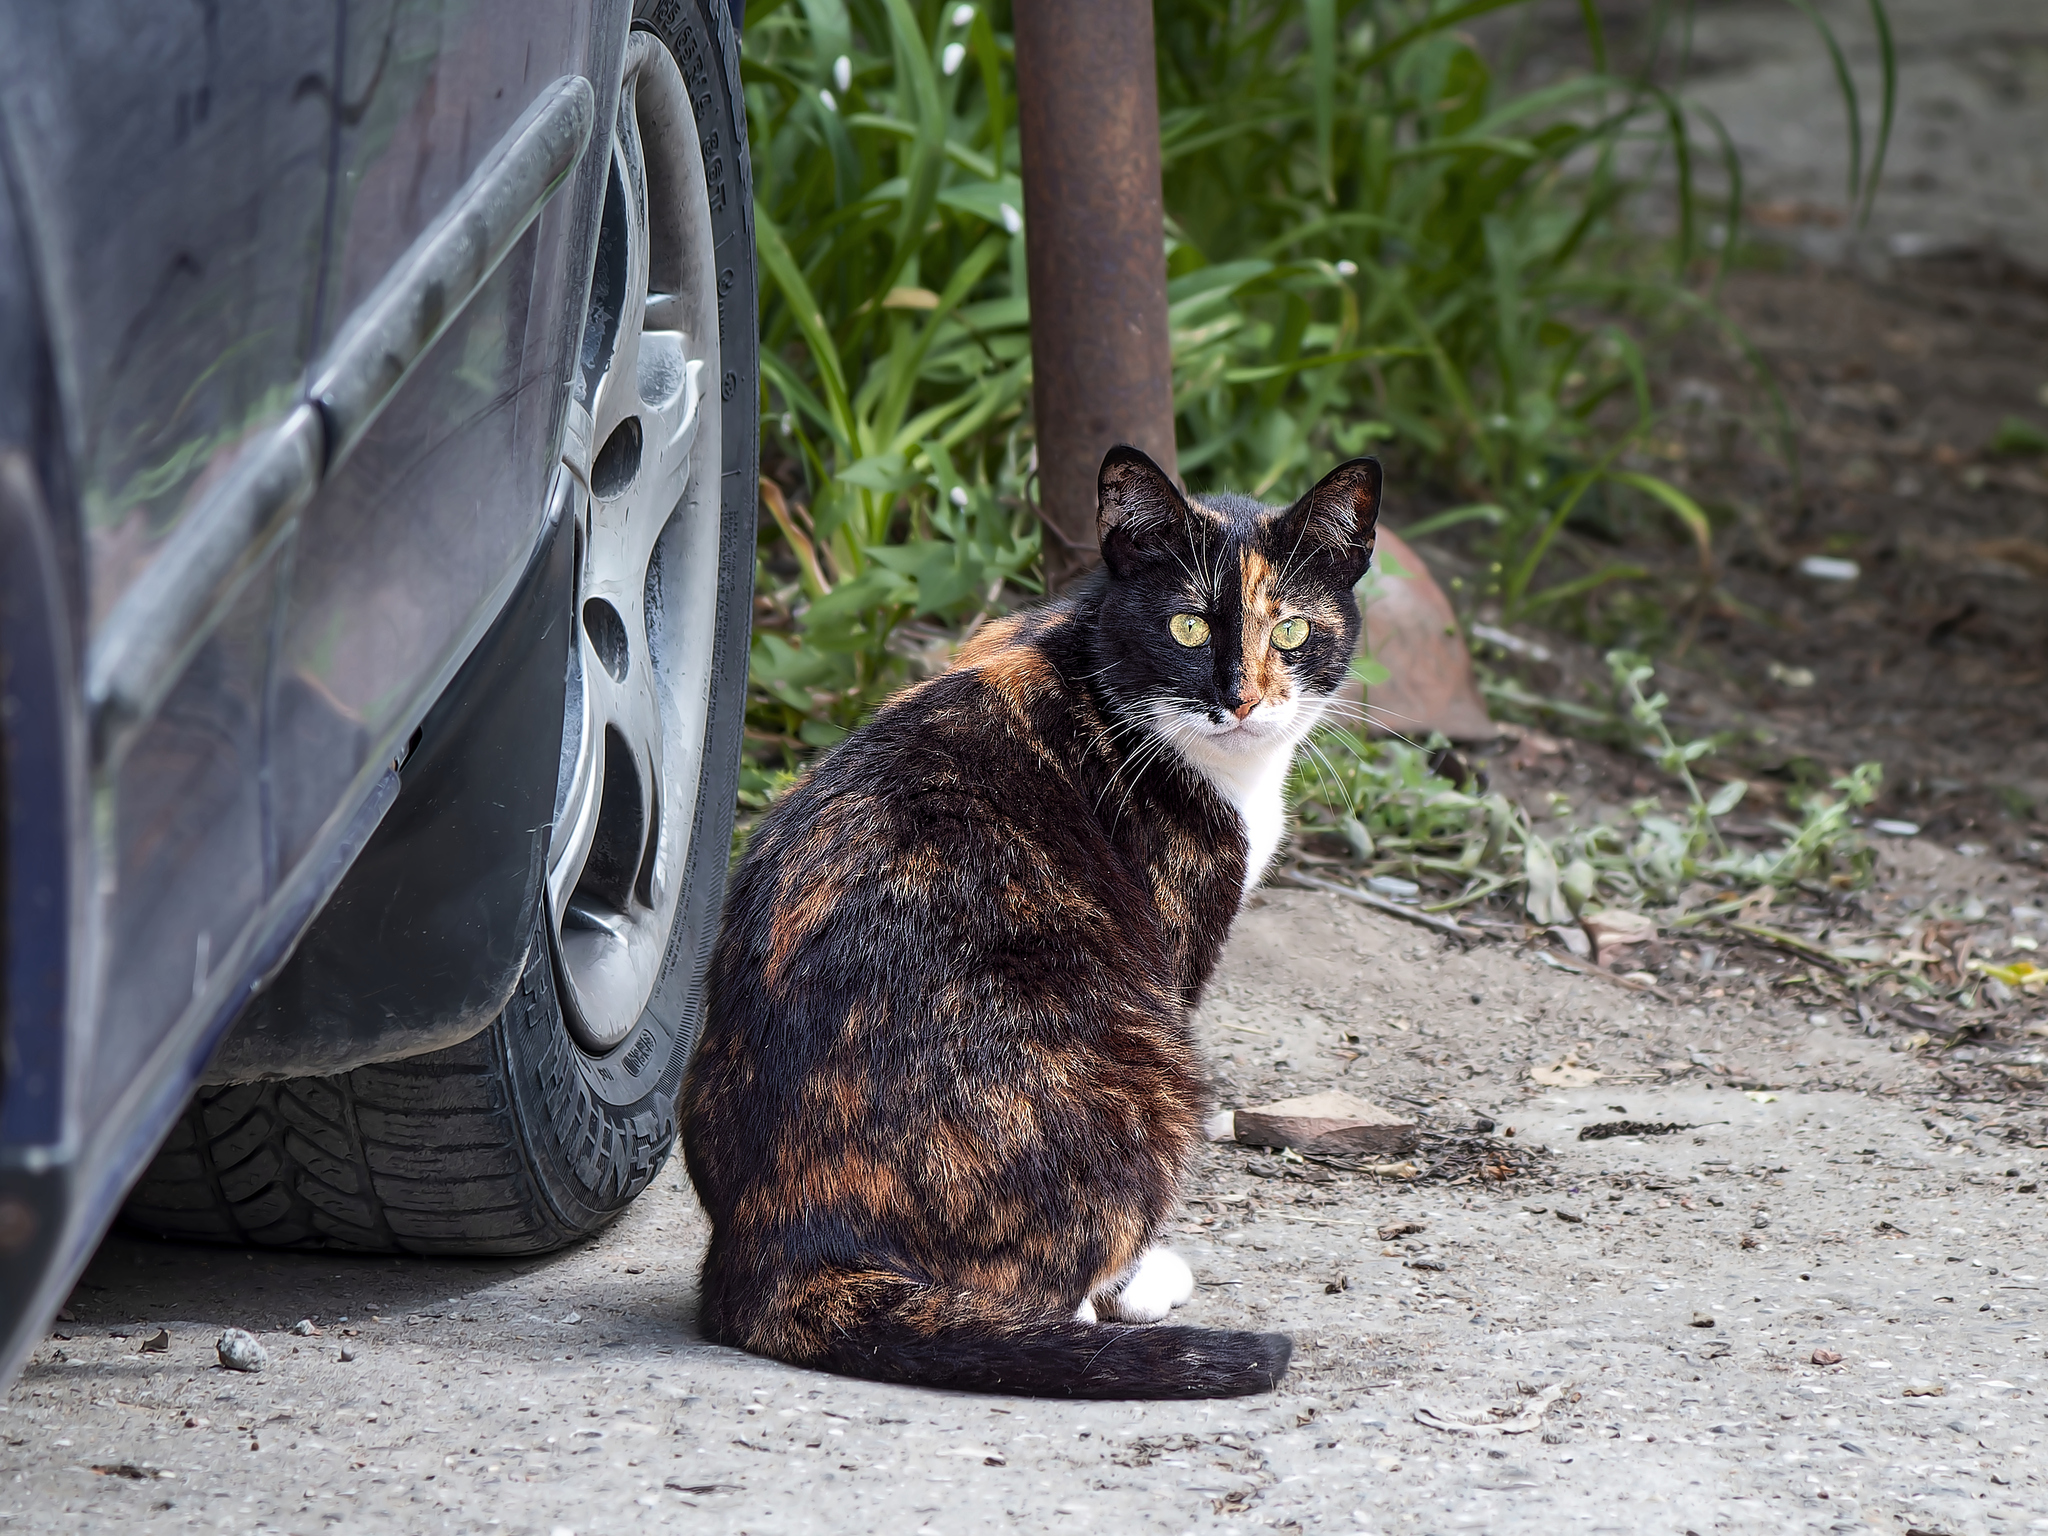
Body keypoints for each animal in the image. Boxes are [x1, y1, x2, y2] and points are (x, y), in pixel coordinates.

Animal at [684, 448, 1376, 1409]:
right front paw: (1138, 1282)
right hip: (1151, 1067)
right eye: (1188, 627)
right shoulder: (1173, 942)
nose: (1240, 699)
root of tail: (772, 1256)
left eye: (1293, 633)